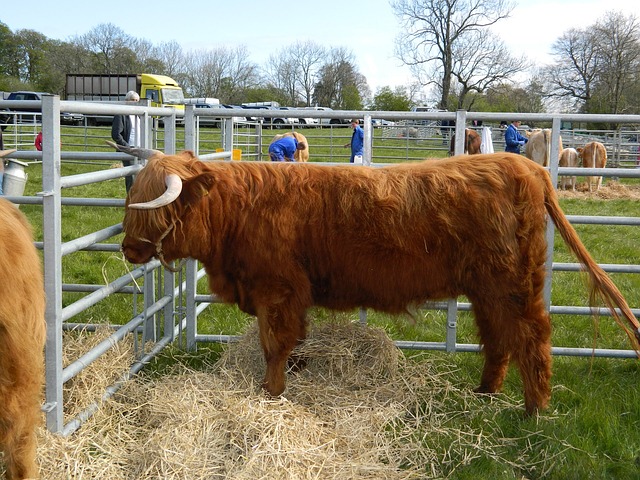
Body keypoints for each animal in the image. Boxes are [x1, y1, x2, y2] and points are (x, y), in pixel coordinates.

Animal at [115, 142, 640, 416]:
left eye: (152, 210)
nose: (127, 249)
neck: (235, 214)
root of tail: (525, 165)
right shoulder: (288, 294)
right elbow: (292, 340)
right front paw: (291, 376)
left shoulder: (277, 289)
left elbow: (274, 343)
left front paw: (271, 393)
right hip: (486, 287)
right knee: (497, 337)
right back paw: (485, 391)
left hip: (512, 282)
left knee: (533, 335)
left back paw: (534, 409)